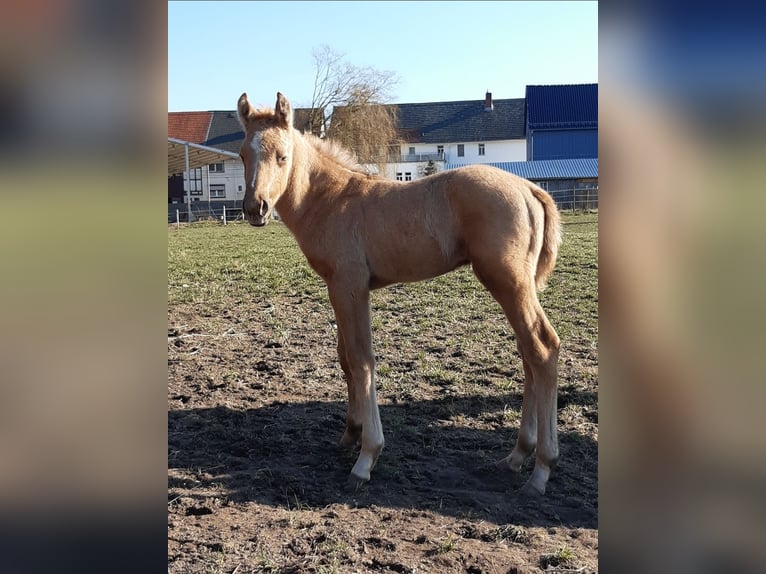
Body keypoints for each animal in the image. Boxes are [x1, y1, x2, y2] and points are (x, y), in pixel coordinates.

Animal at [237, 91, 562, 495]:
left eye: (282, 156)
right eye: (242, 155)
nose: (256, 208)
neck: (331, 199)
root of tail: (530, 188)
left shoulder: (350, 286)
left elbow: (361, 360)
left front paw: (367, 456)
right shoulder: (337, 288)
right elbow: (345, 358)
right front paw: (350, 433)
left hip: (508, 282)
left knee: (542, 348)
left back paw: (541, 469)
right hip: (516, 287)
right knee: (529, 354)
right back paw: (518, 455)